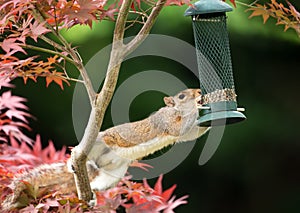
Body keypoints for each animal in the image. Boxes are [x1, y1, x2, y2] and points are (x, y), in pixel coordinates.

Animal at [0, 88, 211, 210]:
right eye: (182, 96)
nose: (198, 91)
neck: (176, 111)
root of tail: (95, 163)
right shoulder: (165, 121)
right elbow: (179, 128)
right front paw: (199, 106)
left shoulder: (184, 133)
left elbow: (191, 133)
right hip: (96, 143)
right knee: (75, 155)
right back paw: (72, 161)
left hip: (113, 174)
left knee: (97, 185)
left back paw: (90, 197)